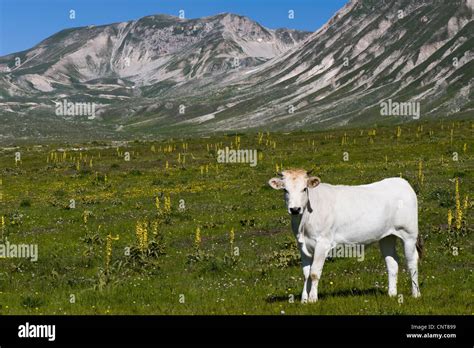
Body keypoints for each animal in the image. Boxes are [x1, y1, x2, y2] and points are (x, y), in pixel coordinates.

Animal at [270, 170, 422, 304]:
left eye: (304, 189)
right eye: (285, 190)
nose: (295, 209)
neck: (303, 223)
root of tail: (401, 181)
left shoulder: (322, 243)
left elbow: (314, 273)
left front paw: (313, 299)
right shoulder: (302, 245)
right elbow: (306, 273)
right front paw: (304, 300)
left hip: (409, 234)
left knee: (412, 261)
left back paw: (416, 294)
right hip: (387, 236)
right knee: (392, 263)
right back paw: (392, 294)